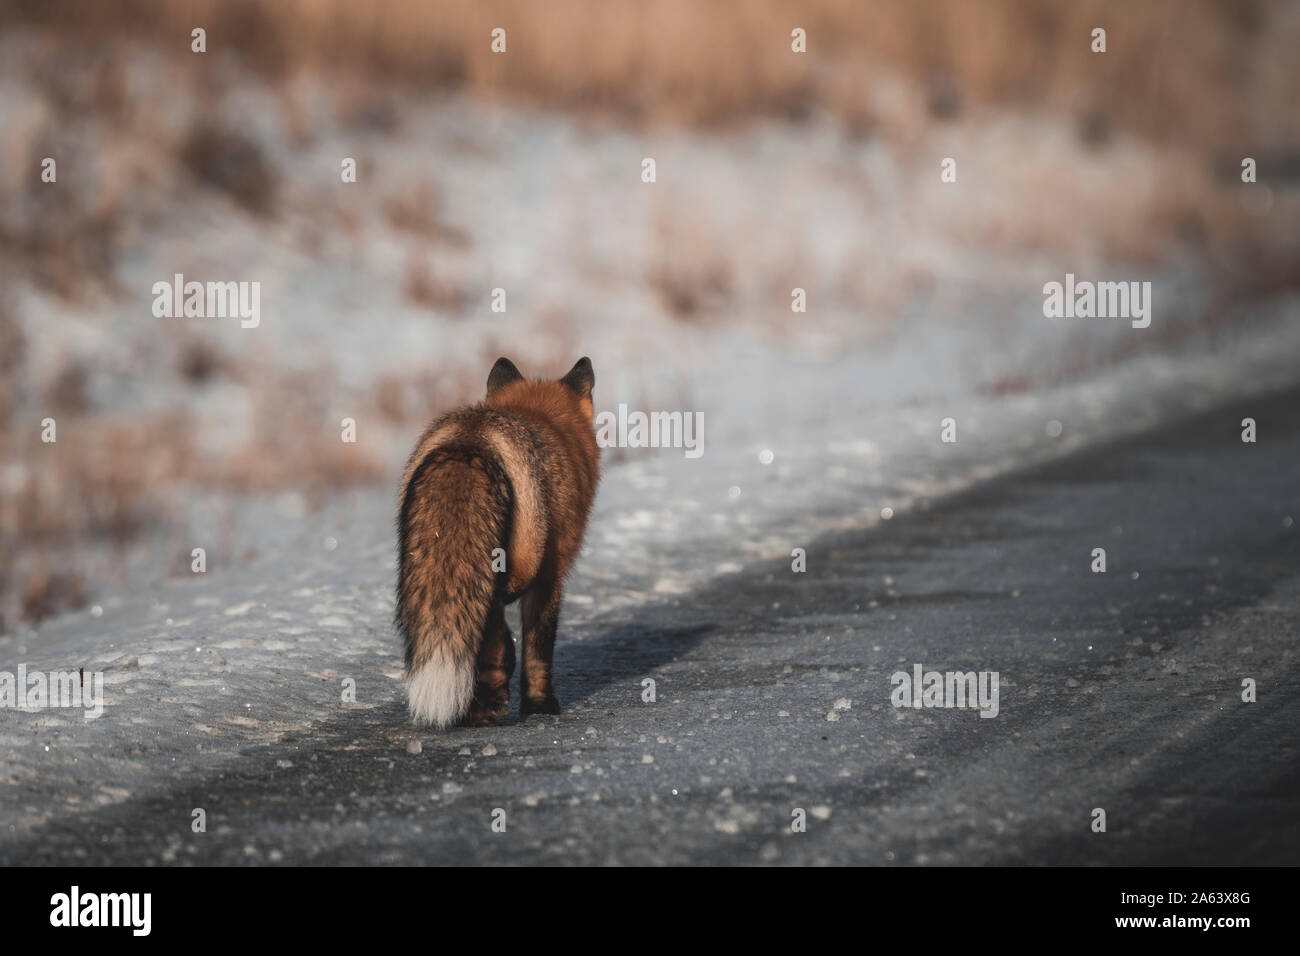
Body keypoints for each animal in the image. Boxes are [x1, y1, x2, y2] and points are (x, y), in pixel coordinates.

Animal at [395, 356, 598, 723]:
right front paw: (539, 704)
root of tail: (469, 441)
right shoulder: (550, 573)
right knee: (494, 620)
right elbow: (538, 649)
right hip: (522, 563)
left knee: (484, 623)